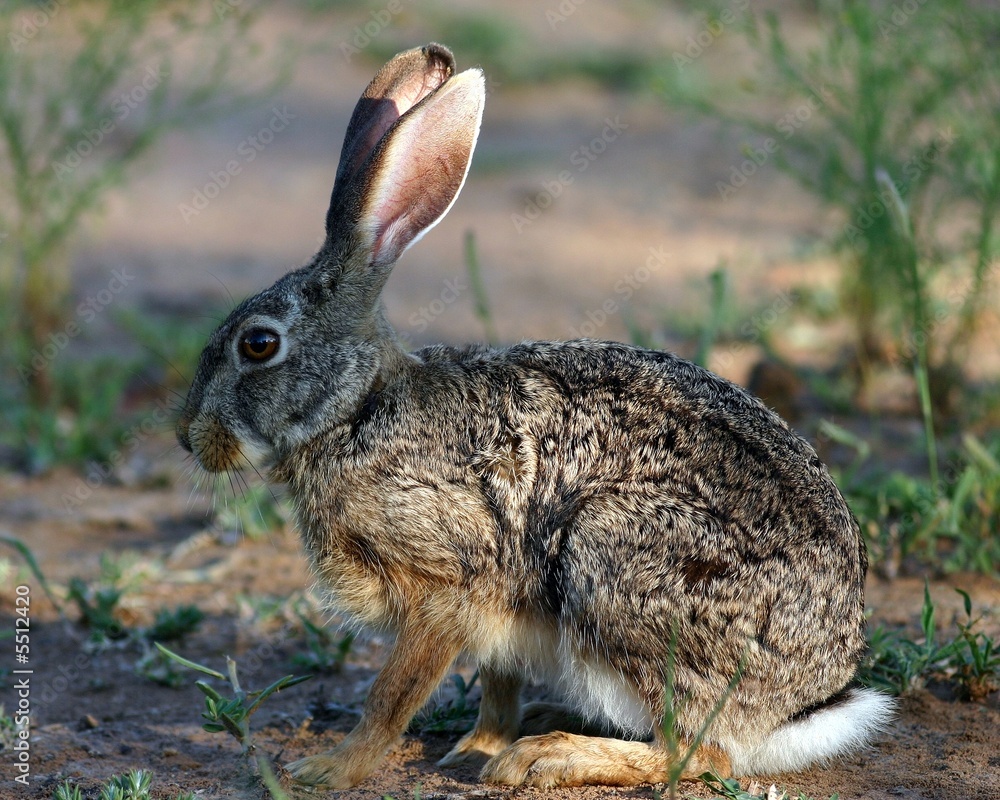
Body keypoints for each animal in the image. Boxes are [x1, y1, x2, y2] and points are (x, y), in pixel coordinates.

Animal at [176, 43, 894, 789]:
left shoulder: (449, 581)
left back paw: (548, 756)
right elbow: (498, 684)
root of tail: (807, 704)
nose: (190, 438)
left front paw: (330, 769)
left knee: (696, 751)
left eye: (258, 345)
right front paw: (477, 745)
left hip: (612, 559)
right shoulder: (498, 620)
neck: (355, 412)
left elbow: (392, 695)